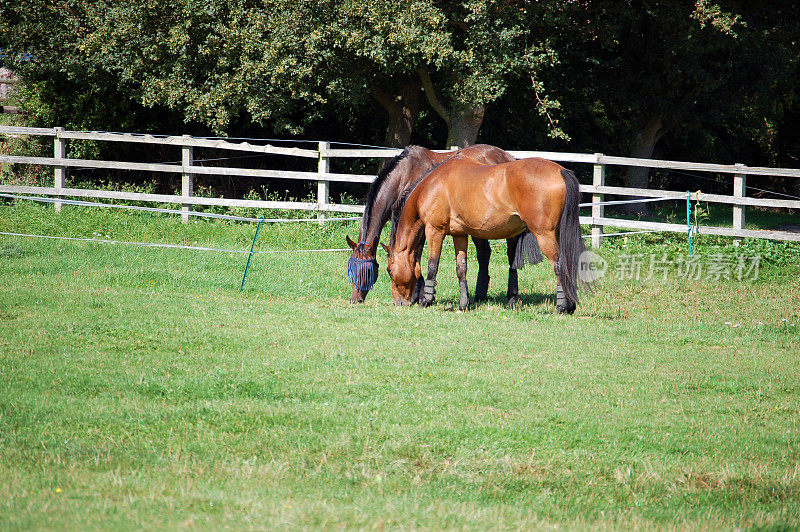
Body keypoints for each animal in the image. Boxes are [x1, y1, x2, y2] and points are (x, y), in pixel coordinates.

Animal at [346, 144, 540, 304]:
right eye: (351, 268)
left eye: (367, 270)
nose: (355, 300)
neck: (405, 175)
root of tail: (508, 157)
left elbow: (417, 256)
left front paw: (419, 294)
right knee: (484, 254)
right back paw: (479, 295)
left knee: (509, 256)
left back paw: (511, 296)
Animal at [384, 156, 584, 314]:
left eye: (389, 270)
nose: (398, 303)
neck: (432, 185)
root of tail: (560, 170)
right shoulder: (460, 235)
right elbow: (461, 269)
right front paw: (463, 304)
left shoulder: (435, 231)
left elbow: (432, 266)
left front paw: (426, 300)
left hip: (544, 235)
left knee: (559, 265)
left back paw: (562, 307)